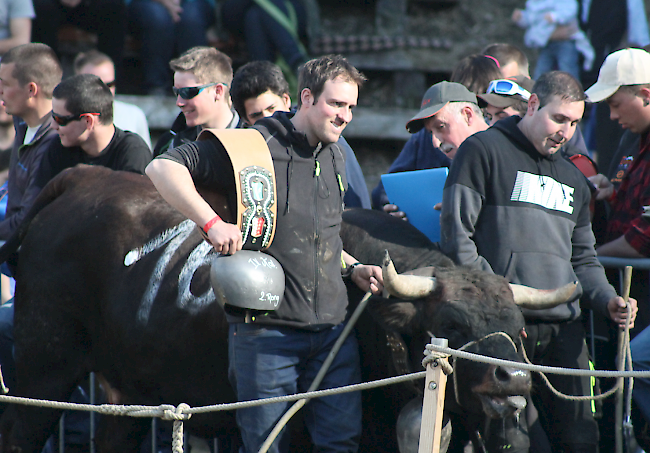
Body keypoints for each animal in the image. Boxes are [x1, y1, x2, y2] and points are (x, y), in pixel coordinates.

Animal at [0, 167, 568, 452]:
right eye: (450, 323)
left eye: (520, 329)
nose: (513, 378)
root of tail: (82, 178)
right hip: (43, 366)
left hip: (127, 393)